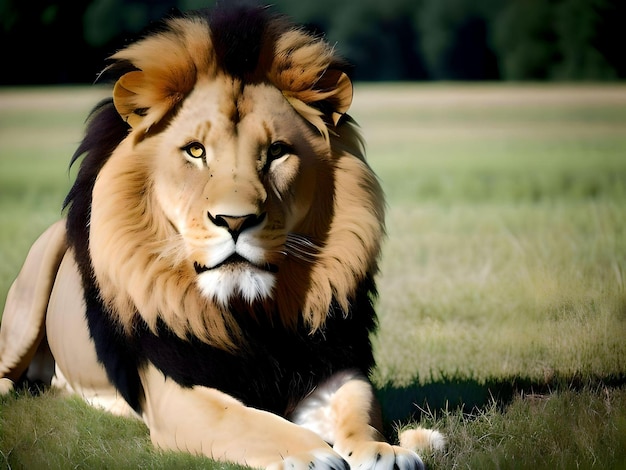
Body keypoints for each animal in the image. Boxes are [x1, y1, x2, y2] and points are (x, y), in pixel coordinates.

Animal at [0, 4, 442, 470]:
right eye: (195, 151)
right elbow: (250, 421)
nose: (234, 221)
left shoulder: (331, 362)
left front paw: (385, 450)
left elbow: (359, 407)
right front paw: (310, 453)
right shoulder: (177, 392)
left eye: (277, 151)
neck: (255, 315)